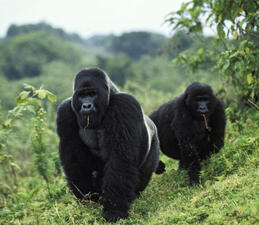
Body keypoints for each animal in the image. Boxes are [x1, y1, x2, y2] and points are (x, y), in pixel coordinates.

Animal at [56, 67, 160, 221]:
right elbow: (74, 161)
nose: (86, 105)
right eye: (82, 96)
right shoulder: (65, 111)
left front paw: (114, 210)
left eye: (92, 94)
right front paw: (88, 200)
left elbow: (119, 161)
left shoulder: (124, 105)